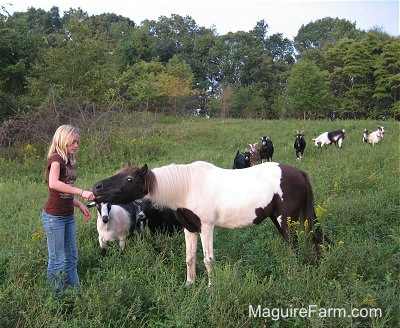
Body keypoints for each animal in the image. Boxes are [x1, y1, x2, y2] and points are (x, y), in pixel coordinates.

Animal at [92, 160, 332, 286]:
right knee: (318, 240)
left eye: (129, 179)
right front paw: (189, 284)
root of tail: (298, 172)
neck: (187, 187)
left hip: (287, 221)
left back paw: (293, 277)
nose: (96, 188)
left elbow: (208, 259)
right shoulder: (190, 229)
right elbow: (190, 258)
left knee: (295, 248)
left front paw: (210, 287)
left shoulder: (206, 228)